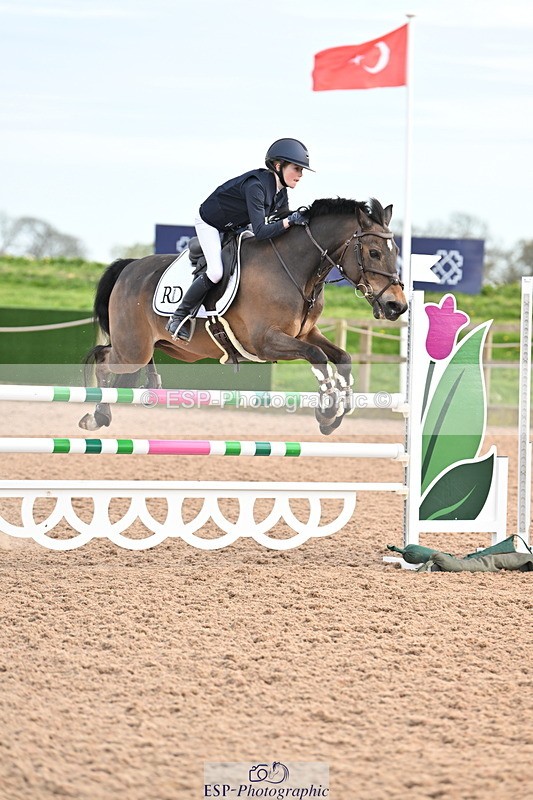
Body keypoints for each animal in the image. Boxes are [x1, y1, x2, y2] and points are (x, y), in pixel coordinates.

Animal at [79, 197, 407, 435]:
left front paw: (339, 412)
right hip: (133, 349)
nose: (397, 306)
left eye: (396, 252)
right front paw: (326, 411)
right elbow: (317, 356)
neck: (296, 270)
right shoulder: (265, 342)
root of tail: (128, 267)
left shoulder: (305, 333)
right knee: (103, 359)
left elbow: (342, 357)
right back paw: (96, 416)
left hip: (156, 347)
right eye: (374, 253)